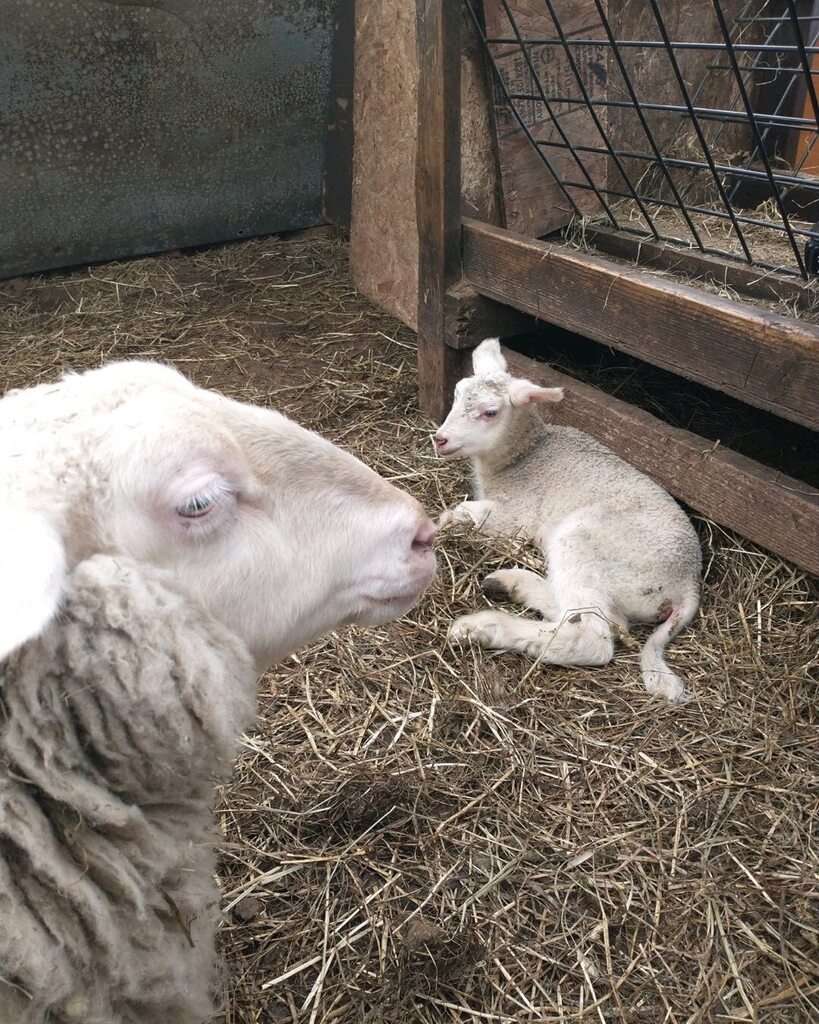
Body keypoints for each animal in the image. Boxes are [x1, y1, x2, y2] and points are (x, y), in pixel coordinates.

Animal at [435, 338, 701, 702]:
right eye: (458, 394)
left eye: (490, 412)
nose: (440, 439)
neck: (524, 456)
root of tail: (688, 583)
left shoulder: (517, 514)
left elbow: (464, 512)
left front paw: (441, 524)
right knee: (585, 613)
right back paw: (510, 584)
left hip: (584, 542)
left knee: (593, 636)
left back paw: (483, 628)